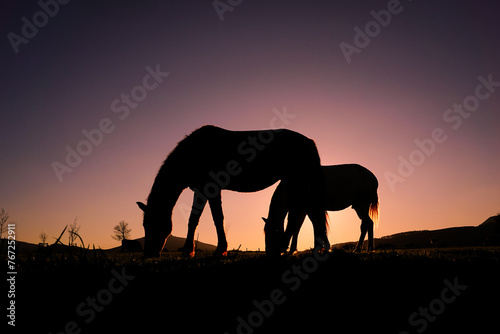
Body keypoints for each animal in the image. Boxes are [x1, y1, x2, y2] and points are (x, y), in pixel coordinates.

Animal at [136, 126, 328, 258]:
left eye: (152, 224)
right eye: (144, 225)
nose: (149, 254)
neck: (193, 153)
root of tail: (310, 141)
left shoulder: (210, 188)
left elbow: (212, 219)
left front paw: (215, 250)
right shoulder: (202, 190)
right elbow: (198, 219)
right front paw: (193, 251)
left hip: (298, 183)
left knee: (301, 216)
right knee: (304, 216)